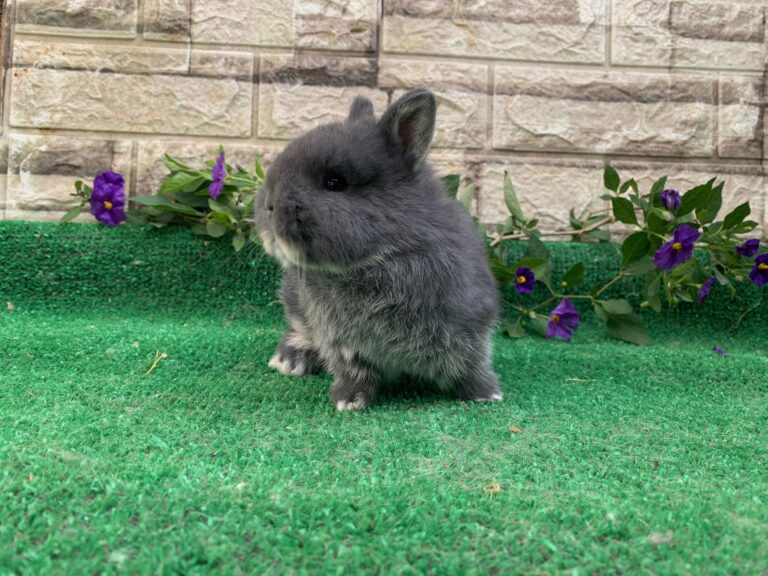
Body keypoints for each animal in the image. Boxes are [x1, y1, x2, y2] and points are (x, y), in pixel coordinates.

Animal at [254, 89, 504, 410]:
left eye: (334, 183)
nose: (268, 204)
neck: (380, 259)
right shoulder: (342, 342)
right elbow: (355, 372)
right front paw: (349, 401)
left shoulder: (471, 328)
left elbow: (471, 365)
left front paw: (487, 393)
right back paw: (289, 359)